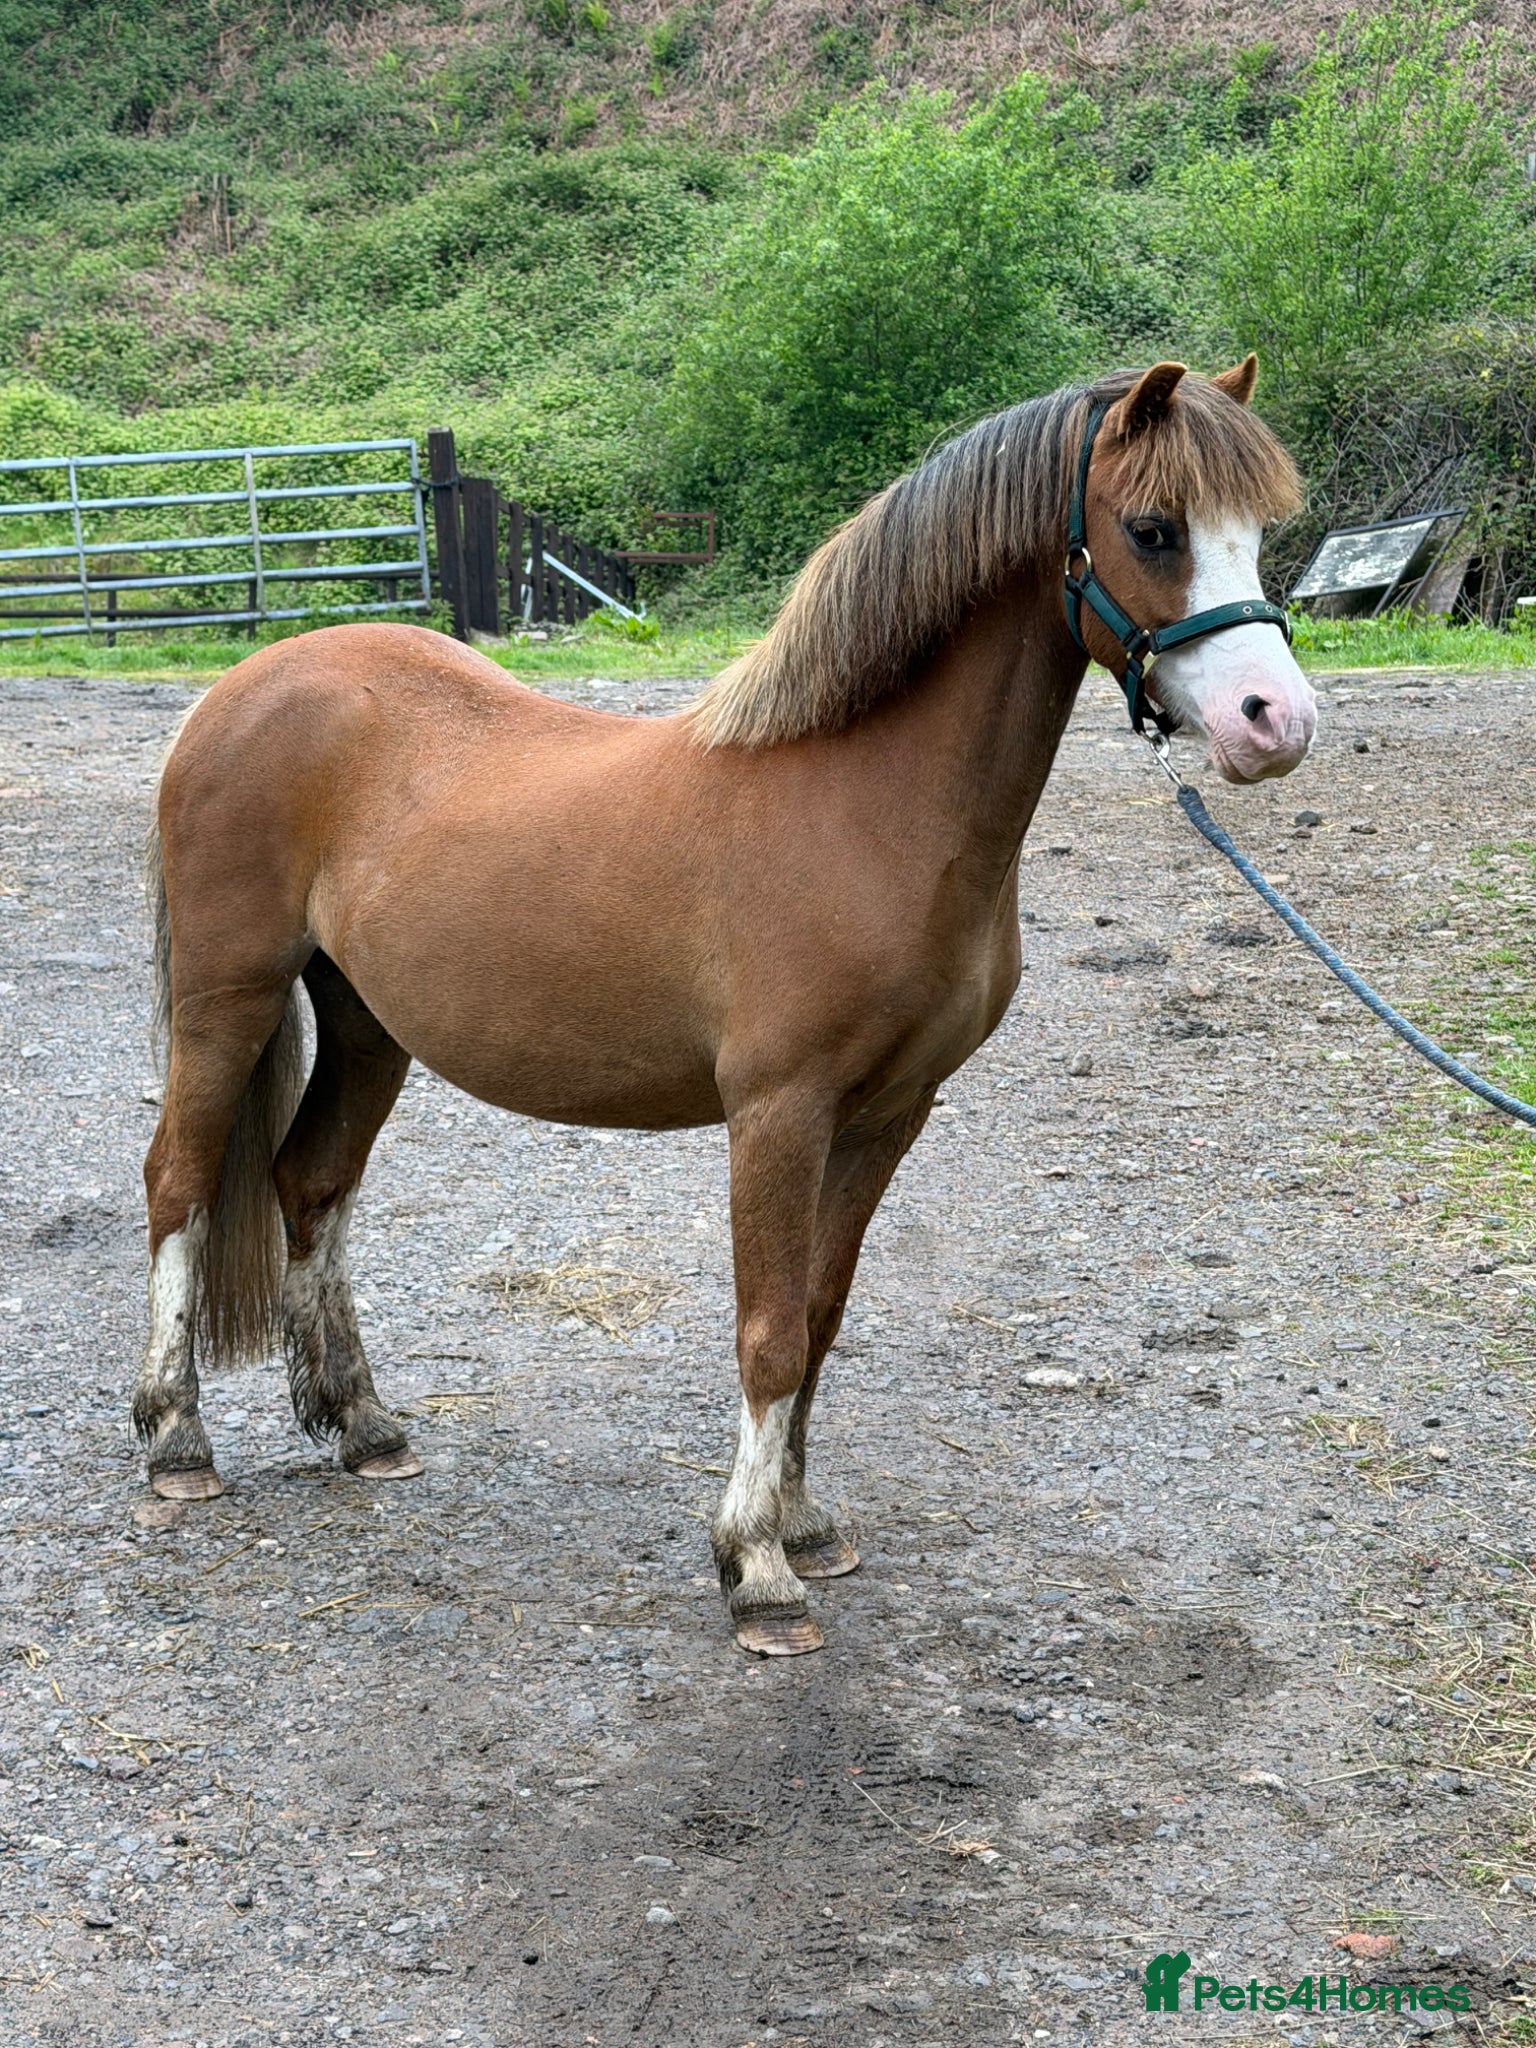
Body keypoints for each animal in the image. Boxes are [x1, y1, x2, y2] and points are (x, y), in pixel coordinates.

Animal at [135, 358, 1316, 1657]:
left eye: (1262, 532)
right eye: (1153, 529)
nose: (1275, 721)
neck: (865, 804)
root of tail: (238, 689)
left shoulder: (890, 1110)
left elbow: (821, 1314)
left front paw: (804, 1524)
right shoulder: (778, 1111)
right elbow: (768, 1328)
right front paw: (755, 1567)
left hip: (364, 1022)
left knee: (312, 1183)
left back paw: (364, 1425)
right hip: (230, 996)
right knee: (180, 1184)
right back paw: (175, 1438)